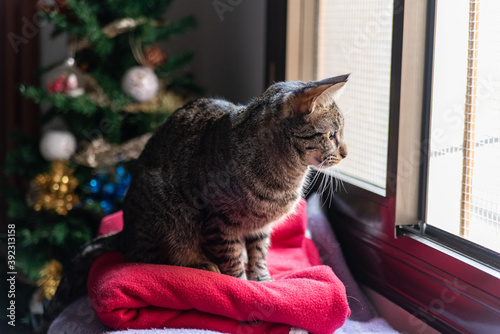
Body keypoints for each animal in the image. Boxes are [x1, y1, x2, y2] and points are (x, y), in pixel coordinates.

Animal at [38, 73, 348, 332]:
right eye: (332, 135)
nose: (345, 153)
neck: (286, 175)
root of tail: (125, 231)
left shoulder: (260, 228)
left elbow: (259, 255)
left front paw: (262, 281)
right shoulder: (218, 223)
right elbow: (234, 265)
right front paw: (244, 291)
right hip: (171, 217)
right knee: (154, 258)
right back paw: (201, 265)